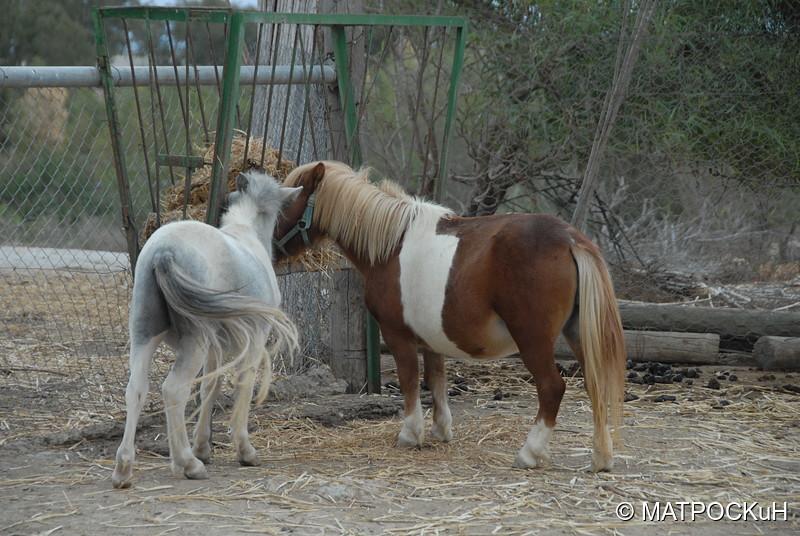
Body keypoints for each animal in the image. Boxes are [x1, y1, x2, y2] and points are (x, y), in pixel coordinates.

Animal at [280, 160, 624, 468]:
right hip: (578, 334)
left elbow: (409, 380)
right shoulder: (432, 339)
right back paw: (601, 458)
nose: (273, 249)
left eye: (287, 201)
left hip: (533, 340)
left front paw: (410, 434)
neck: (393, 245)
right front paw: (440, 430)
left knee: (552, 388)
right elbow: (436, 381)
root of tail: (570, 239)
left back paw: (530, 453)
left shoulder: (397, 335)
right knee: (596, 385)